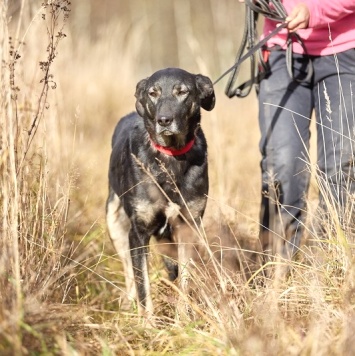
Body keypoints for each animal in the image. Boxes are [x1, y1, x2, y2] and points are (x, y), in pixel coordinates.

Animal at [107, 68, 216, 318]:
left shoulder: (188, 227)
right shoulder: (138, 234)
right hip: (114, 223)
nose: (164, 120)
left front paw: (183, 319)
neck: (171, 156)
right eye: (152, 93)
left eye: (182, 92)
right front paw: (148, 323)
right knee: (129, 273)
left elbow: (185, 280)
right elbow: (143, 286)